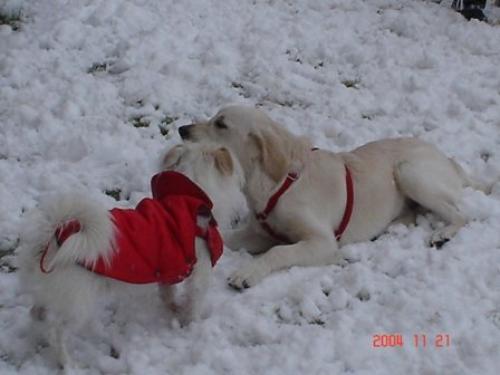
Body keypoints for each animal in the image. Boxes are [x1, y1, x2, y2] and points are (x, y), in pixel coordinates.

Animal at [18, 142, 245, 368]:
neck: (187, 200)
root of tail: (54, 238)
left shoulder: (168, 270)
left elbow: (167, 293)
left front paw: (173, 308)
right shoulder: (200, 273)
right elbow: (194, 302)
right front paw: (193, 325)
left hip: (53, 295)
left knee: (36, 313)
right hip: (77, 306)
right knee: (57, 332)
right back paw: (68, 363)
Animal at [178, 106, 486, 290]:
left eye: (221, 124)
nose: (182, 129)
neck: (278, 183)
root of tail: (448, 160)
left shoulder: (321, 241)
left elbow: (279, 252)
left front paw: (247, 273)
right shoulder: (259, 233)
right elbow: (227, 238)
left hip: (409, 171)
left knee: (462, 213)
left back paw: (443, 233)